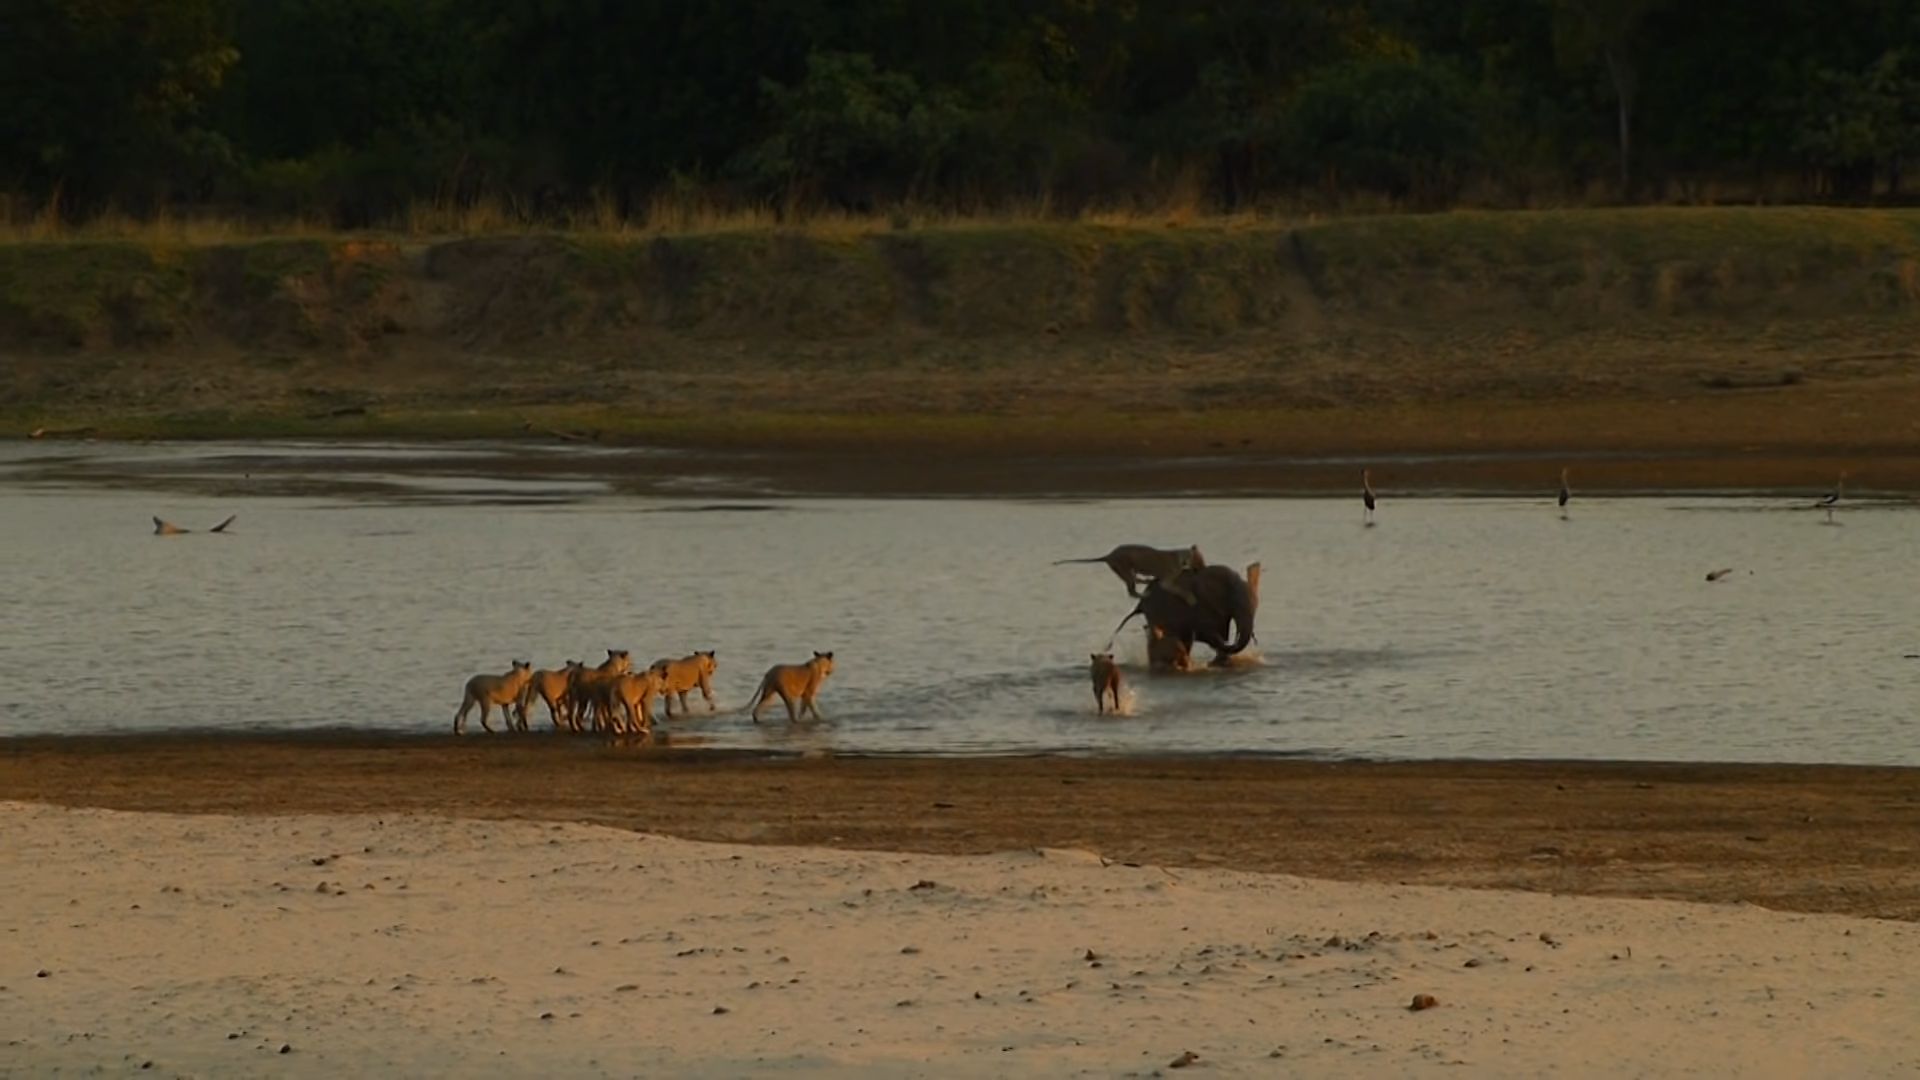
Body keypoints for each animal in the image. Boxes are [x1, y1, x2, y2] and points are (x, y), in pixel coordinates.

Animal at [1052, 541, 1198, 599]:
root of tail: (1109, 555)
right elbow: (1177, 588)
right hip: (1124, 567)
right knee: (1132, 590)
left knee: (1134, 584)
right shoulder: (1166, 581)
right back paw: (1144, 591)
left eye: (1189, 556)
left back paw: (1145, 582)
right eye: (1183, 556)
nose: (1185, 562)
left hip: (1125, 570)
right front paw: (1189, 596)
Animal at [1113, 557, 1259, 661]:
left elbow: (1222, 630)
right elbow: (1207, 630)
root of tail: (1140, 603)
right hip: (1155, 612)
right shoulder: (1201, 605)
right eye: (1236, 603)